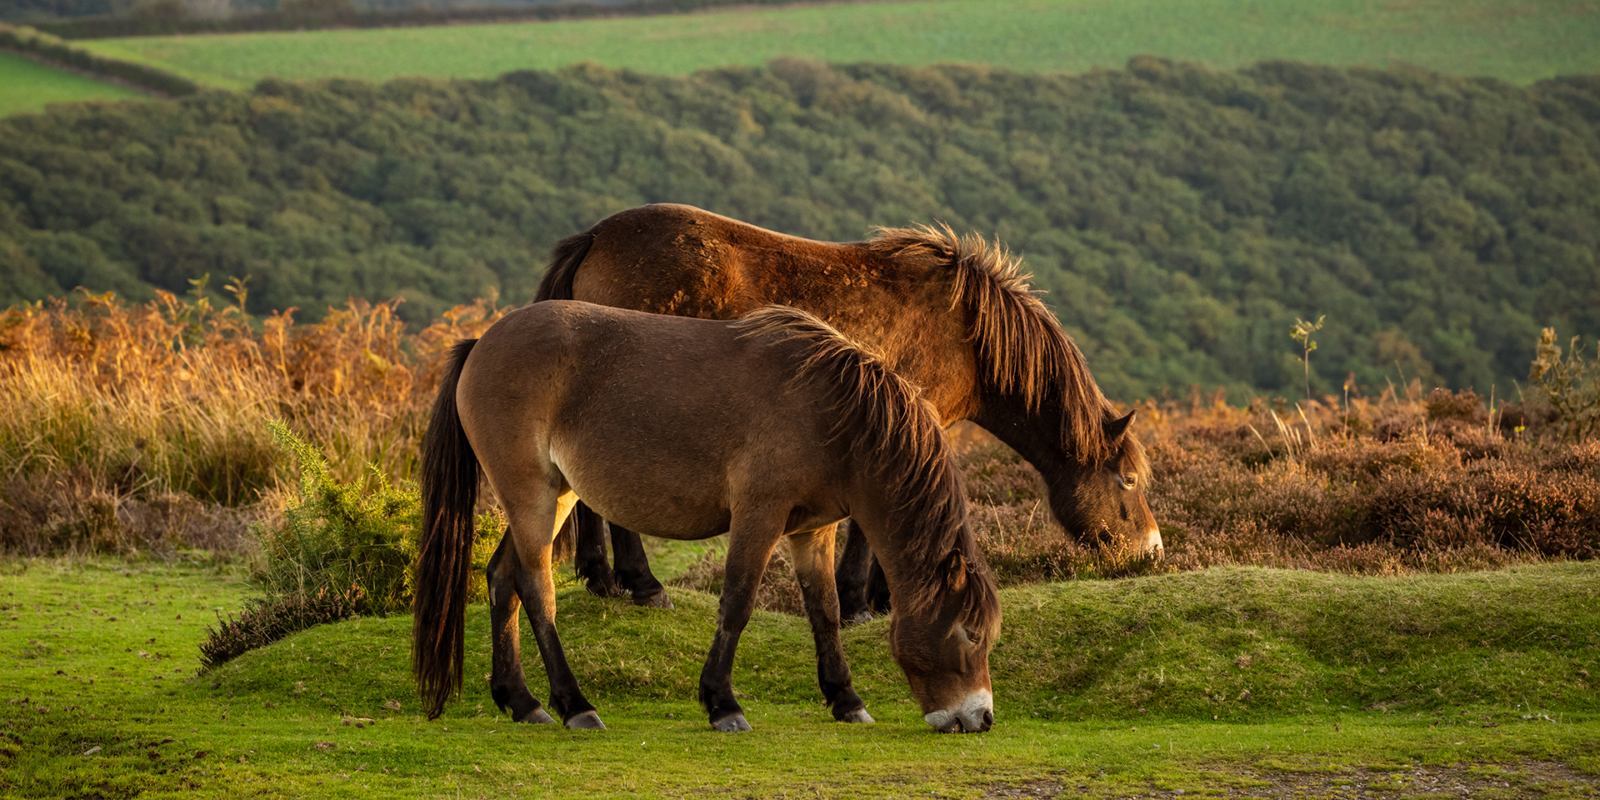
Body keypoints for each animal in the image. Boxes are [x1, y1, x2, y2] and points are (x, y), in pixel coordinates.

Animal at [412, 300, 998, 732]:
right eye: (969, 632)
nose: (981, 717)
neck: (834, 415)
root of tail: (481, 344)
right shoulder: (759, 515)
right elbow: (737, 603)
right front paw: (723, 704)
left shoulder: (813, 530)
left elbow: (825, 612)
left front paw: (846, 700)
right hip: (530, 495)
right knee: (536, 590)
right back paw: (575, 704)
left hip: (555, 497)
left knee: (501, 578)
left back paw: (521, 701)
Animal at [544, 203, 1158, 614]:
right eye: (1127, 480)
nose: (1151, 551)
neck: (965, 333)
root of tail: (596, 236)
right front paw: (868, 601)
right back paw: (643, 585)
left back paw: (601, 579)